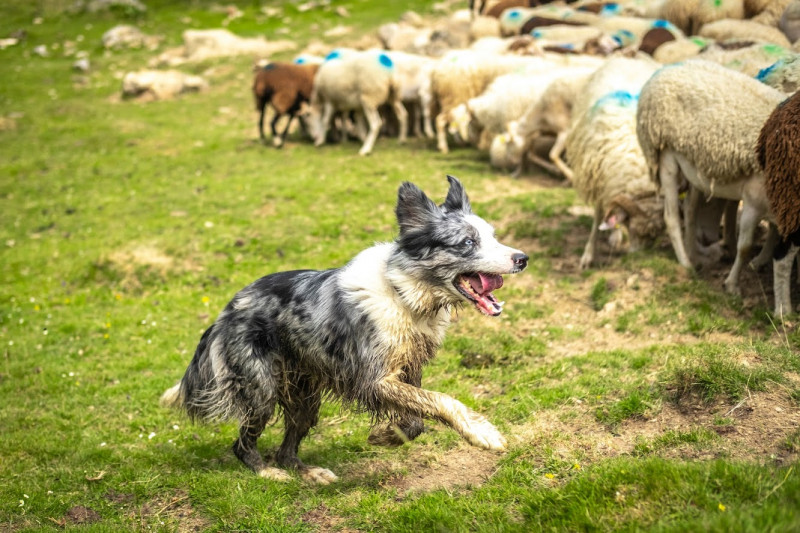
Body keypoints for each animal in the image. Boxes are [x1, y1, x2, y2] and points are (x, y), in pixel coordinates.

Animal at [161, 176, 524, 482]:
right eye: (467, 242)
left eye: (492, 237)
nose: (523, 258)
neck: (404, 291)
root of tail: (224, 313)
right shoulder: (373, 378)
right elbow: (441, 400)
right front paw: (483, 432)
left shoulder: (407, 368)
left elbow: (418, 416)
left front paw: (387, 435)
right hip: (261, 389)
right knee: (242, 444)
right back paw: (267, 473)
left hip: (305, 398)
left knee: (286, 448)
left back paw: (308, 473)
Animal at [636, 60, 788, 298]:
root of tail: (670, 67)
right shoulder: (754, 199)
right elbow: (745, 247)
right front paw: (733, 285)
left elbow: (772, 233)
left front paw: (760, 260)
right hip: (665, 155)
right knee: (671, 216)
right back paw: (686, 263)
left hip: (694, 166)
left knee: (690, 211)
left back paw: (694, 254)